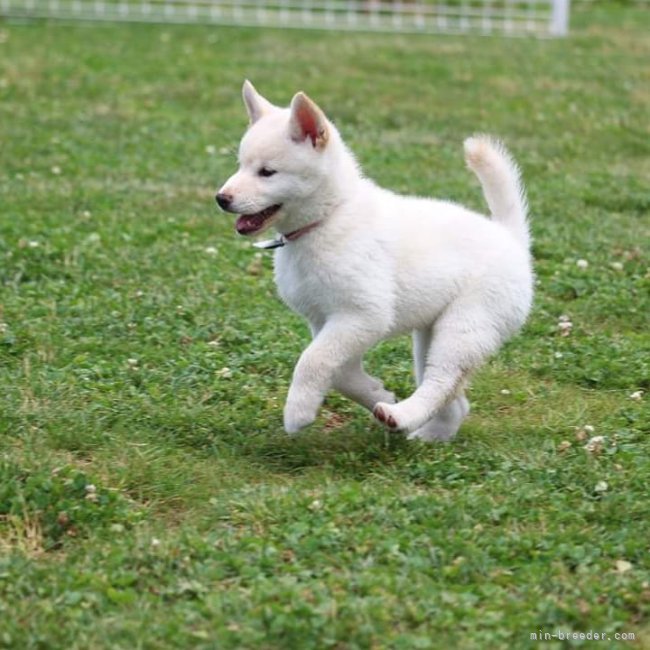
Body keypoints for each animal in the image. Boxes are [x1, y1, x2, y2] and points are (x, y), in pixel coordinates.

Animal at [218, 78, 532, 438]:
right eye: (241, 165)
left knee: (441, 381)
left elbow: (313, 360)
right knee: (455, 399)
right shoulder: (326, 320)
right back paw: (427, 435)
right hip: (429, 334)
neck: (329, 217)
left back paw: (402, 415)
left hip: (465, 326)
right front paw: (374, 392)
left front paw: (299, 411)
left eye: (267, 172)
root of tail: (511, 239)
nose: (221, 198)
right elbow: (339, 371)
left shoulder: (362, 315)